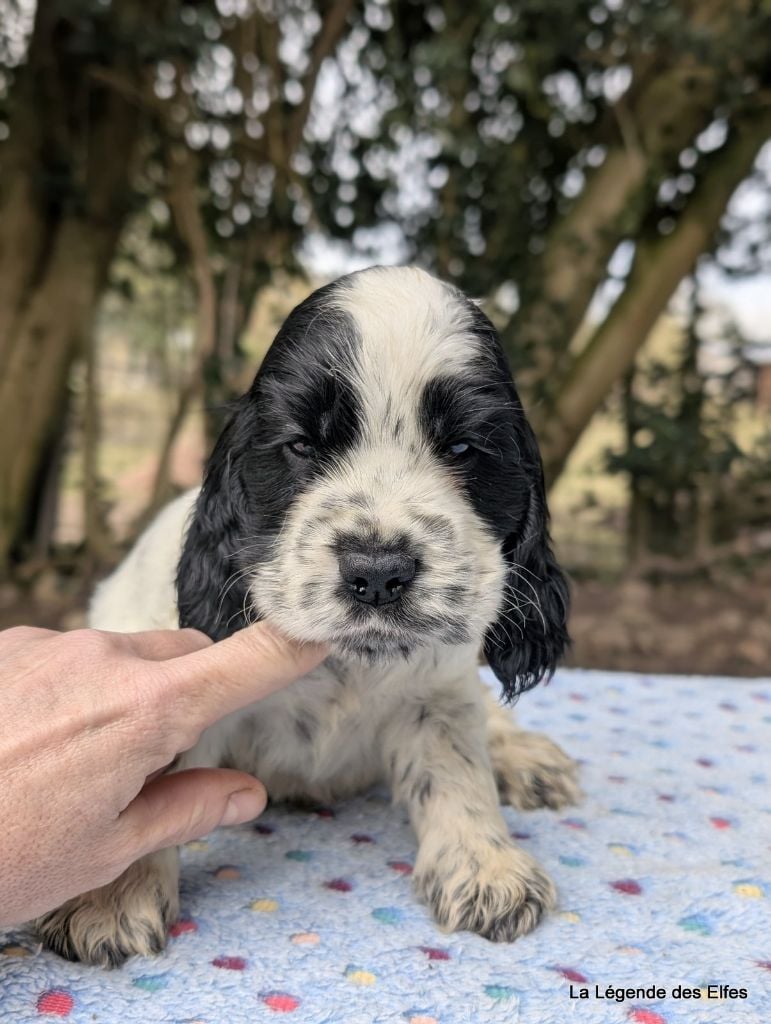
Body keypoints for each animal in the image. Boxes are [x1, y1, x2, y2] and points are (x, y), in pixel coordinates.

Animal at [36, 266, 577, 966]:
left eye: (462, 447)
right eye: (300, 444)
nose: (378, 571)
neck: (349, 663)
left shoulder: (437, 694)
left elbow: (459, 770)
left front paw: (485, 867)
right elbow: (152, 785)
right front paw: (110, 896)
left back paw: (524, 758)